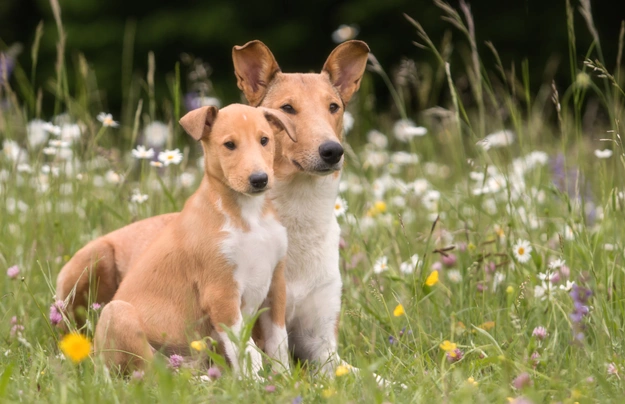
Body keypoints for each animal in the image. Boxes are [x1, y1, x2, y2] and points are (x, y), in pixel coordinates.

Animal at [94, 103, 296, 376]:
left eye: (264, 140)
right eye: (229, 144)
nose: (259, 179)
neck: (249, 216)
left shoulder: (275, 284)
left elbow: (279, 342)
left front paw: (285, 379)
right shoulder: (221, 294)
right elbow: (247, 350)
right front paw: (256, 383)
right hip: (119, 314)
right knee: (150, 372)